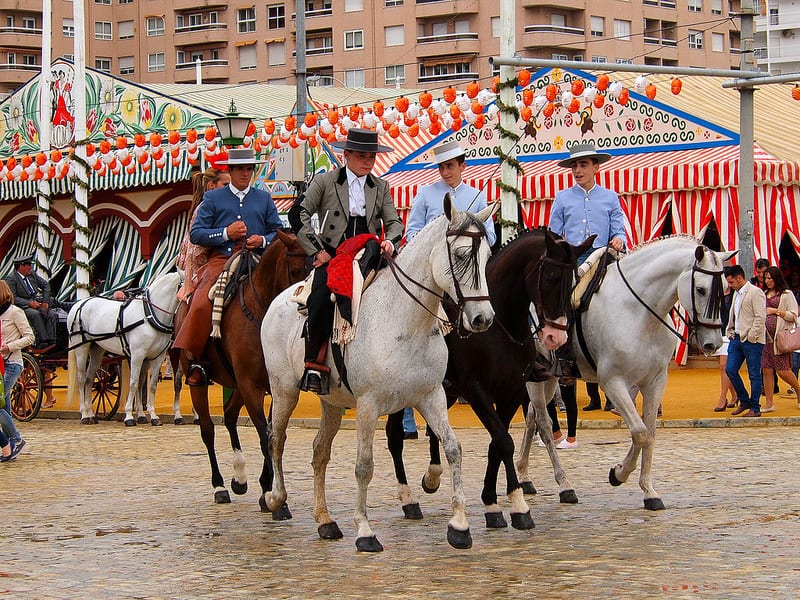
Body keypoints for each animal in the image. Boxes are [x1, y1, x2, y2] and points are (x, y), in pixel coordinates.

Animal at [67, 272, 183, 426]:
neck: (150, 315)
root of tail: (79, 304)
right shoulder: (137, 355)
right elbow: (133, 383)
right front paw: (129, 416)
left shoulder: (157, 356)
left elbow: (151, 385)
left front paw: (152, 416)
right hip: (81, 348)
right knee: (81, 378)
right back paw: (84, 415)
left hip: (96, 349)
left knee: (89, 378)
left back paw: (91, 414)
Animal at [177, 229, 308, 510]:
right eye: (294, 270)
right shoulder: (251, 385)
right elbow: (264, 435)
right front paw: (273, 498)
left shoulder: (273, 384)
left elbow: (271, 433)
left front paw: (266, 489)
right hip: (200, 381)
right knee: (208, 430)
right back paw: (219, 486)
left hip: (237, 384)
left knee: (228, 416)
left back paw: (239, 478)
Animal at [262, 198, 500, 552]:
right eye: (459, 255)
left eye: (486, 255)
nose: (483, 318)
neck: (406, 321)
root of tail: (279, 298)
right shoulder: (368, 405)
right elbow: (364, 465)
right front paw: (365, 531)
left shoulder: (431, 396)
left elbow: (453, 448)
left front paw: (459, 525)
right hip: (283, 391)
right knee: (277, 439)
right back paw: (277, 499)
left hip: (331, 402)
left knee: (319, 451)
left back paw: (325, 520)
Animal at [388, 227, 592, 528]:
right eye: (552, 277)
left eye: (575, 281)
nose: (557, 337)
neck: (500, 327)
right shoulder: (476, 391)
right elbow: (504, 441)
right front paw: (517, 506)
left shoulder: (512, 392)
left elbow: (499, 442)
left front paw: (493, 503)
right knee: (394, 436)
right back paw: (408, 498)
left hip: (445, 391)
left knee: (434, 430)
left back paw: (433, 475)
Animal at [516, 237, 736, 508]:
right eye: (701, 290)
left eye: (724, 288)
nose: (712, 344)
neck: (639, 314)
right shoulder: (613, 383)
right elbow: (639, 433)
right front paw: (618, 474)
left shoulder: (655, 382)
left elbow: (649, 433)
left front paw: (649, 491)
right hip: (537, 379)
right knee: (544, 424)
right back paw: (564, 485)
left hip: (548, 377)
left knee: (531, 418)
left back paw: (525, 477)